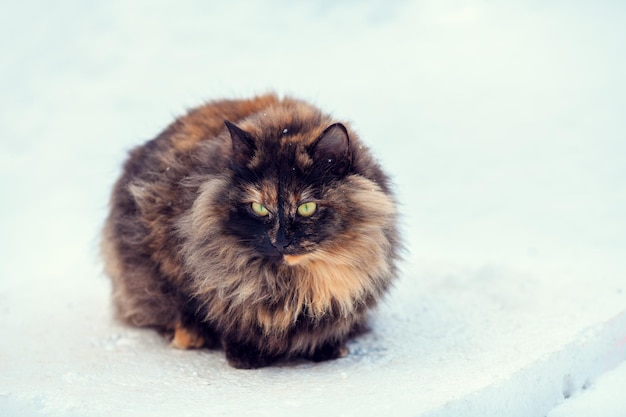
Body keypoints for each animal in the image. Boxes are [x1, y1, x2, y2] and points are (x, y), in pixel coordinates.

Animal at [100, 93, 398, 368]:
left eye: (306, 208)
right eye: (258, 208)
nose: (280, 241)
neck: (295, 285)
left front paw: (328, 347)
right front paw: (244, 353)